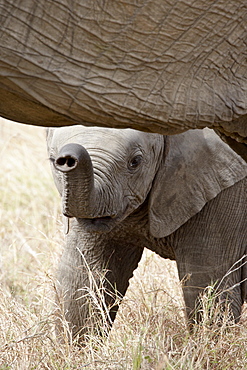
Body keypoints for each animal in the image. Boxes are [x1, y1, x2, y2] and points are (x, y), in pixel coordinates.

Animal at [46, 126, 247, 342]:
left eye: (135, 162)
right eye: (53, 160)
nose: (67, 159)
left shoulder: (224, 193)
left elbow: (207, 282)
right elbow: (82, 277)